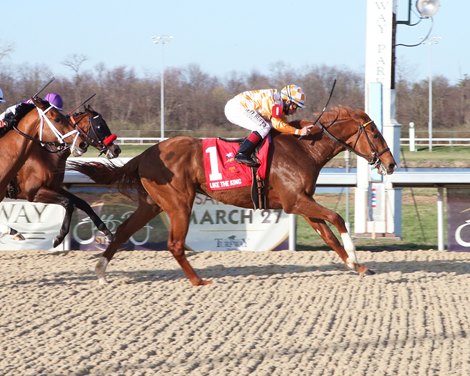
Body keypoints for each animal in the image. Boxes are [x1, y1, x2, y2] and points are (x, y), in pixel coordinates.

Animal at [5, 106, 121, 247]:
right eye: (99, 126)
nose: (116, 150)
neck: (47, 155)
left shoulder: (54, 187)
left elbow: (82, 203)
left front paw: (108, 234)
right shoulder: (33, 192)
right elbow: (68, 203)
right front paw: (59, 237)